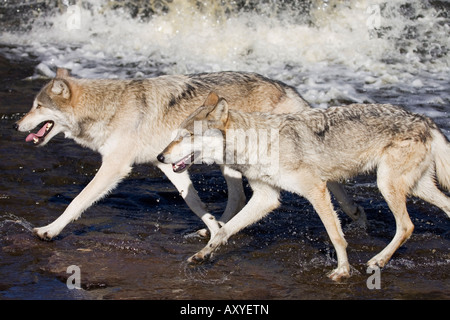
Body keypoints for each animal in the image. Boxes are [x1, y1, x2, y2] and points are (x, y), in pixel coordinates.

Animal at [14, 69, 364, 241]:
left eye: (37, 106)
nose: (17, 124)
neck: (108, 107)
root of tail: (287, 88)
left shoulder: (115, 167)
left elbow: (77, 201)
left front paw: (49, 231)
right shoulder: (169, 165)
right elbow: (194, 203)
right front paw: (213, 227)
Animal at [158, 92, 450, 280]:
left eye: (186, 136)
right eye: (175, 135)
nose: (160, 157)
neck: (258, 143)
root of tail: (424, 119)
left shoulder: (316, 190)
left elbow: (335, 235)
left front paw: (343, 271)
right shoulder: (266, 197)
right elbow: (222, 231)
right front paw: (202, 255)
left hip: (387, 184)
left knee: (407, 226)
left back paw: (378, 260)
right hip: (414, 187)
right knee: (442, 208)